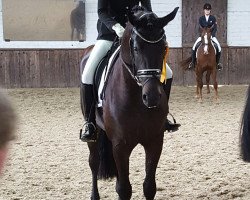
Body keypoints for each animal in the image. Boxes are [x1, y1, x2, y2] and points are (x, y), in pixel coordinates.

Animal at [79, 6, 179, 200]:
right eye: (136, 48)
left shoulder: (155, 142)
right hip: (94, 132)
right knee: (94, 162)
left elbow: (149, 186)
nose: (152, 97)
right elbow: (125, 189)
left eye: (163, 47)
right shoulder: (121, 145)